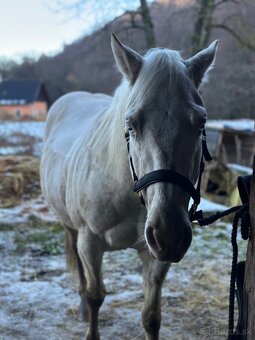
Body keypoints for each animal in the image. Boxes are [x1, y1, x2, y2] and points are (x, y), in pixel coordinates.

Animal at [40, 35, 218, 340]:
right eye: (131, 124)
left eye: (201, 123)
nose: (169, 233)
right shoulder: (90, 242)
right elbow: (95, 296)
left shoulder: (156, 255)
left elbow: (151, 316)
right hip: (70, 227)